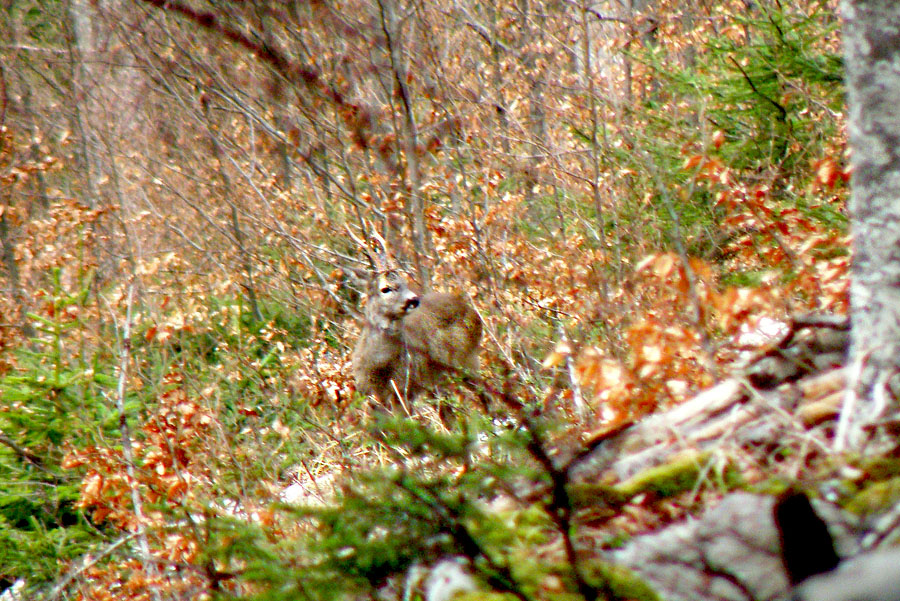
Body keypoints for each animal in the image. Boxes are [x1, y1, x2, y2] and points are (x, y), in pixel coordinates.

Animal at [352, 268, 482, 406]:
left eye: (405, 283)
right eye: (385, 289)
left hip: (464, 359)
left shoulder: (405, 388)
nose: (414, 299)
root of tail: (471, 310)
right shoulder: (371, 393)